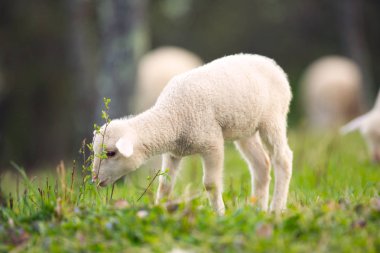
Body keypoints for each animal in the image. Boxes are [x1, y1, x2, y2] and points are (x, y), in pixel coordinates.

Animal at [93, 54, 294, 214]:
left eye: (111, 153)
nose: (95, 179)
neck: (172, 117)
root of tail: (273, 65)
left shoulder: (212, 143)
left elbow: (211, 184)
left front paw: (219, 214)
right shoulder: (173, 153)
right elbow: (165, 186)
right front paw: (159, 210)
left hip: (273, 119)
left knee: (282, 159)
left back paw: (276, 209)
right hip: (246, 129)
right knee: (262, 164)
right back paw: (258, 210)